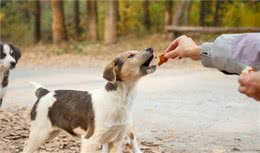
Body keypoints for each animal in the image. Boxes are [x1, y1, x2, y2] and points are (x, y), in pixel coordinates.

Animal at [22, 48, 156, 153]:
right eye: (131, 56)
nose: (150, 48)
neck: (118, 99)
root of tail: (44, 92)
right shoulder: (89, 140)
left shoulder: (115, 141)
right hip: (39, 134)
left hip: (50, 133)